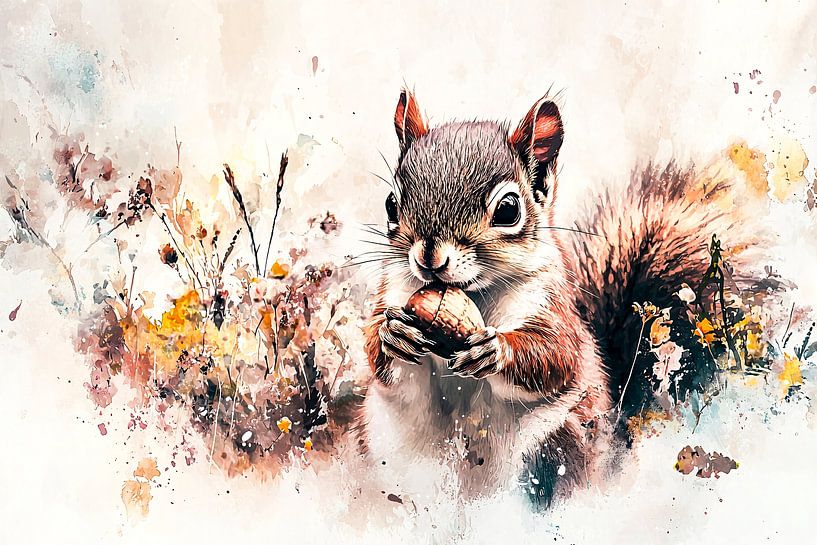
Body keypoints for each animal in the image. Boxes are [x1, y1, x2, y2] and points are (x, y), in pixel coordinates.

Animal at [359, 89, 756, 508]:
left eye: (508, 210)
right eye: (391, 204)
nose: (429, 258)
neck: (475, 293)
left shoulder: (552, 306)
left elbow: (557, 354)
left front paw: (497, 351)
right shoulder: (395, 289)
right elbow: (383, 360)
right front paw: (392, 334)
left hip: (554, 444)